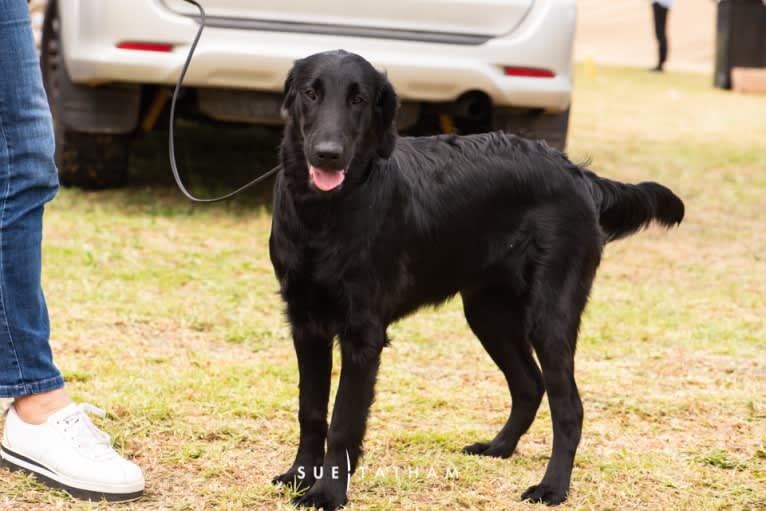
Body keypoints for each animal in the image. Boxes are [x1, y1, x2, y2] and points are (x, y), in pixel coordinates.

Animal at [268, 50, 684, 510]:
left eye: (358, 99)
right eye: (311, 93)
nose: (328, 154)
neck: (324, 216)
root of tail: (578, 173)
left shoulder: (363, 333)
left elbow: (343, 418)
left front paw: (327, 492)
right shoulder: (305, 323)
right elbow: (310, 410)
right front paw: (299, 476)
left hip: (550, 315)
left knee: (568, 406)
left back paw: (552, 487)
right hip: (488, 312)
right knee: (529, 384)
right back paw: (498, 447)